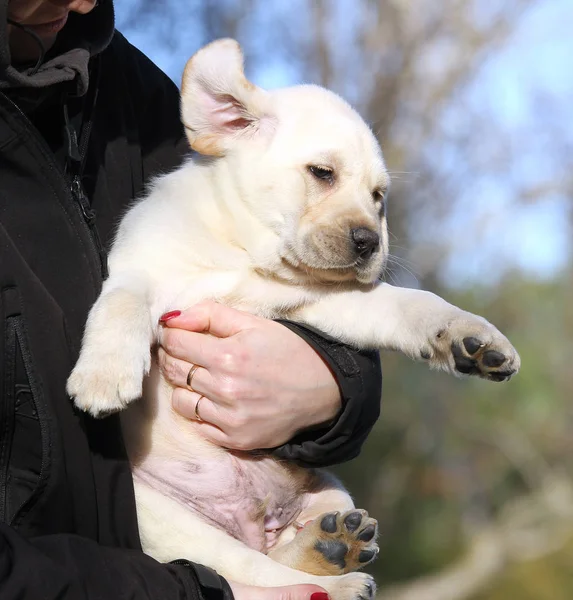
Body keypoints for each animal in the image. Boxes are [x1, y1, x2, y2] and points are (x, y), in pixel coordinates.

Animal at [67, 38, 520, 600]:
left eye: (378, 198)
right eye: (322, 173)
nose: (370, 242)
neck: (245, 254)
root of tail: (247, 522)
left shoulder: (330, 300)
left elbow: (410, 303)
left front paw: (474, 340)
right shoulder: (142, 272)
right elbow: (121, 305)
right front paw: (103, 377)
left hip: (332, 493)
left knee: (277, 559)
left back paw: (332, 549)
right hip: (166, 520)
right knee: (248, 571)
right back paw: (338, 579)